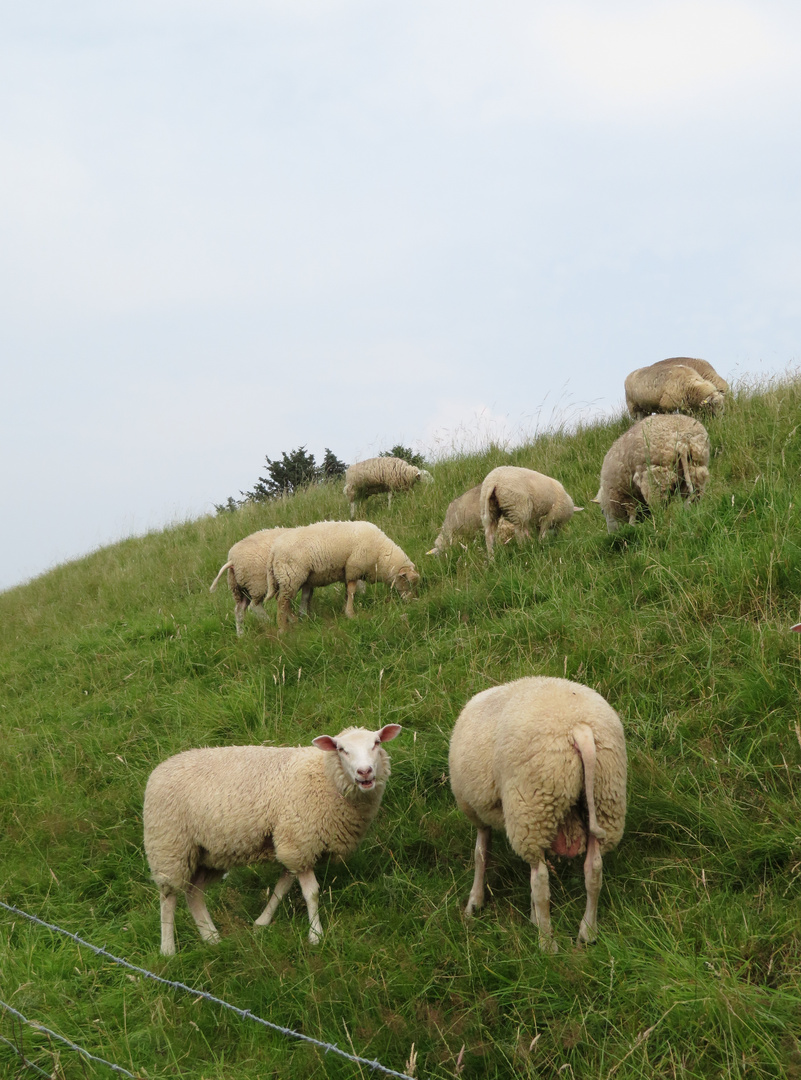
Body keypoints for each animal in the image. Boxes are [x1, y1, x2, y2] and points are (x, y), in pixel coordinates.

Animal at [142, 725, 401, 954]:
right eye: (341, 749)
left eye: (376, 743)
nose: (365, 772)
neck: (325, 777)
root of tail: (158, 769)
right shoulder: (298, 839)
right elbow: (311, 893)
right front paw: (315, 935)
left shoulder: (293, 843)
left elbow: (282, 886)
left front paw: (262, 922)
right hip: (169, 845)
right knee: (168, 897)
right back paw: (168, 950)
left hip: (208, 853)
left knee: (193, 893)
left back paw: (212, 938)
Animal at [267, 518, 421, 630]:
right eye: (407, 581)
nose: (413, 602)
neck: (381, 554)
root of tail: (274, 550)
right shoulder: (354, 568)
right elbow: (352, 591)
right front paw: (351, 614)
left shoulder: (348, 571)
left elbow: (347, 592)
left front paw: (345, 609)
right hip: (291, 576)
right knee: (282, 602)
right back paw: (283, 628)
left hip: (290, 579)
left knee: (283, 600)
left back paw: (294, 620)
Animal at [451, 678, 626, 950]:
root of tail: (580, 729)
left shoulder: (478, 813)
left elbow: (481, 854)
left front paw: (474, 904)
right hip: (603, 798)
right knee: (593, 870)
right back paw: (587, 933)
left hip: (532, 805)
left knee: (540, 880)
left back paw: (546, 943)